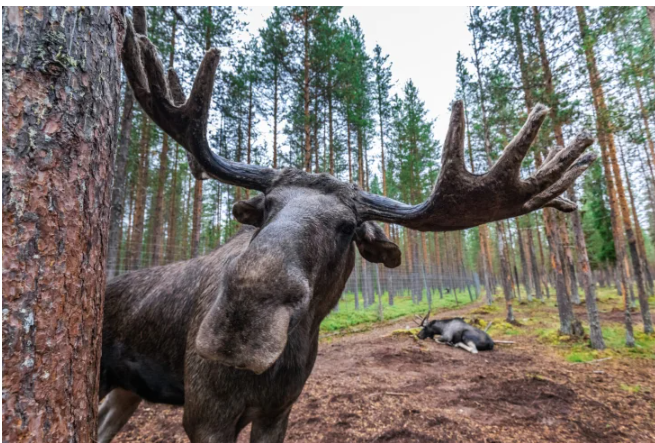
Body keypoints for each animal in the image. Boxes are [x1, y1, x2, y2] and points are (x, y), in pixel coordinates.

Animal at [98, 7, 600, 443]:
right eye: (267, 207)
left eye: (346, 228)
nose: (240, 323)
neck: (288, 358)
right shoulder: (206, 416)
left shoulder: (277, 412)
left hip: (126, 391)